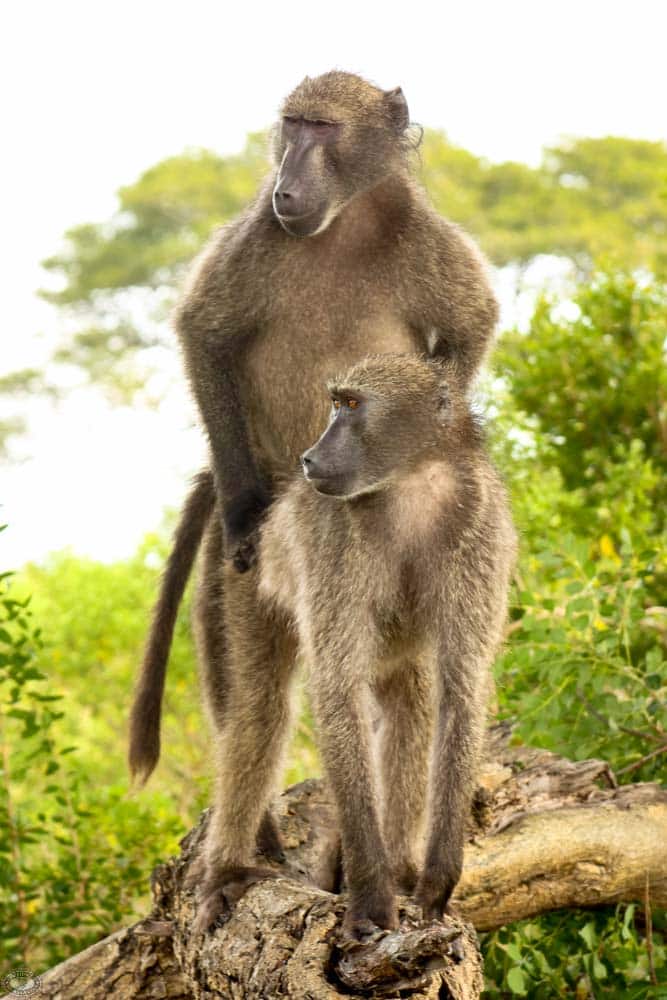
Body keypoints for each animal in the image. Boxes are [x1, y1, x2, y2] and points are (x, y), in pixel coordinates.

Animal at [193, 353, 516, 938]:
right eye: (335, 403)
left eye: (351, 404)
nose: (308, 457)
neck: (414, 486)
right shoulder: (336, 544)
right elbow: (338, 688)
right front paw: (370, 894)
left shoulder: (481, 531)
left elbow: (461, 688)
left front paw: (437, 880)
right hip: (252, 585)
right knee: (261, 711)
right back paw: (226, 871)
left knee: (411, 704)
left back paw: (403, 865)